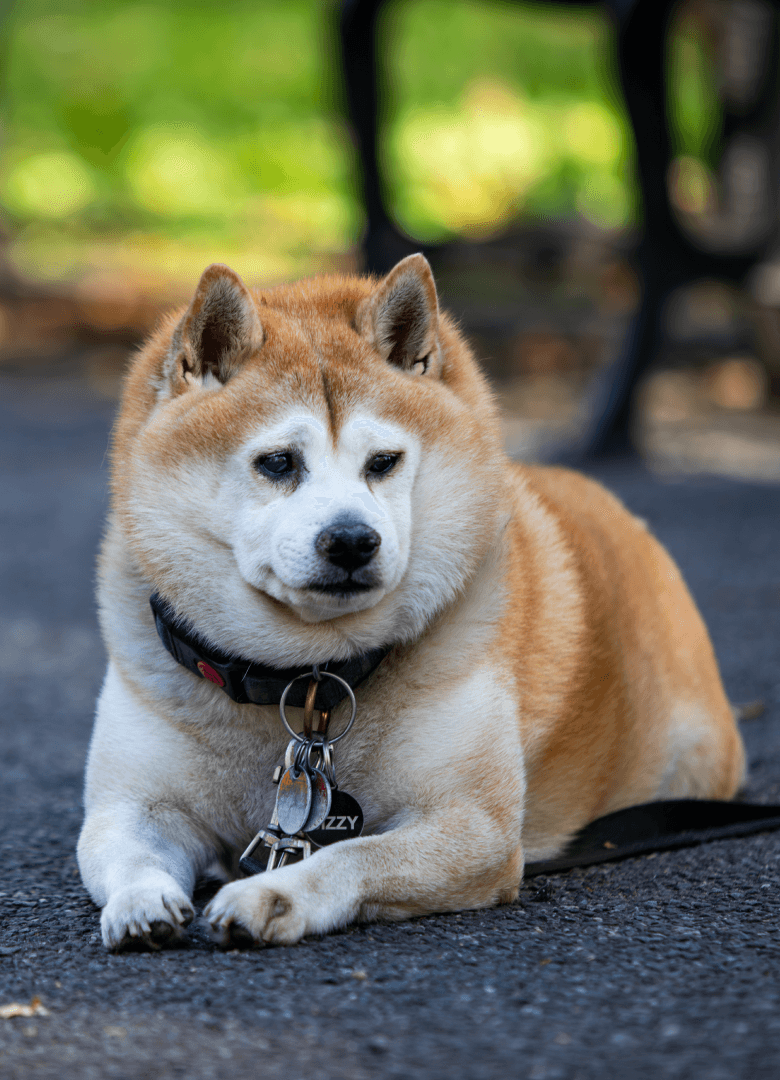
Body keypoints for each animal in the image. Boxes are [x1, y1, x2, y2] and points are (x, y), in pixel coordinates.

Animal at [76, 257, 743, 950]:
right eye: (278, 462)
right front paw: (140, 903)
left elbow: (351, 855)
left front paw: (272, 895)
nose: (351, 540)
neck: (304, 680)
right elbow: (128, 852)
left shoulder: (472, 826)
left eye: (384, 462)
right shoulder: (131, 807)